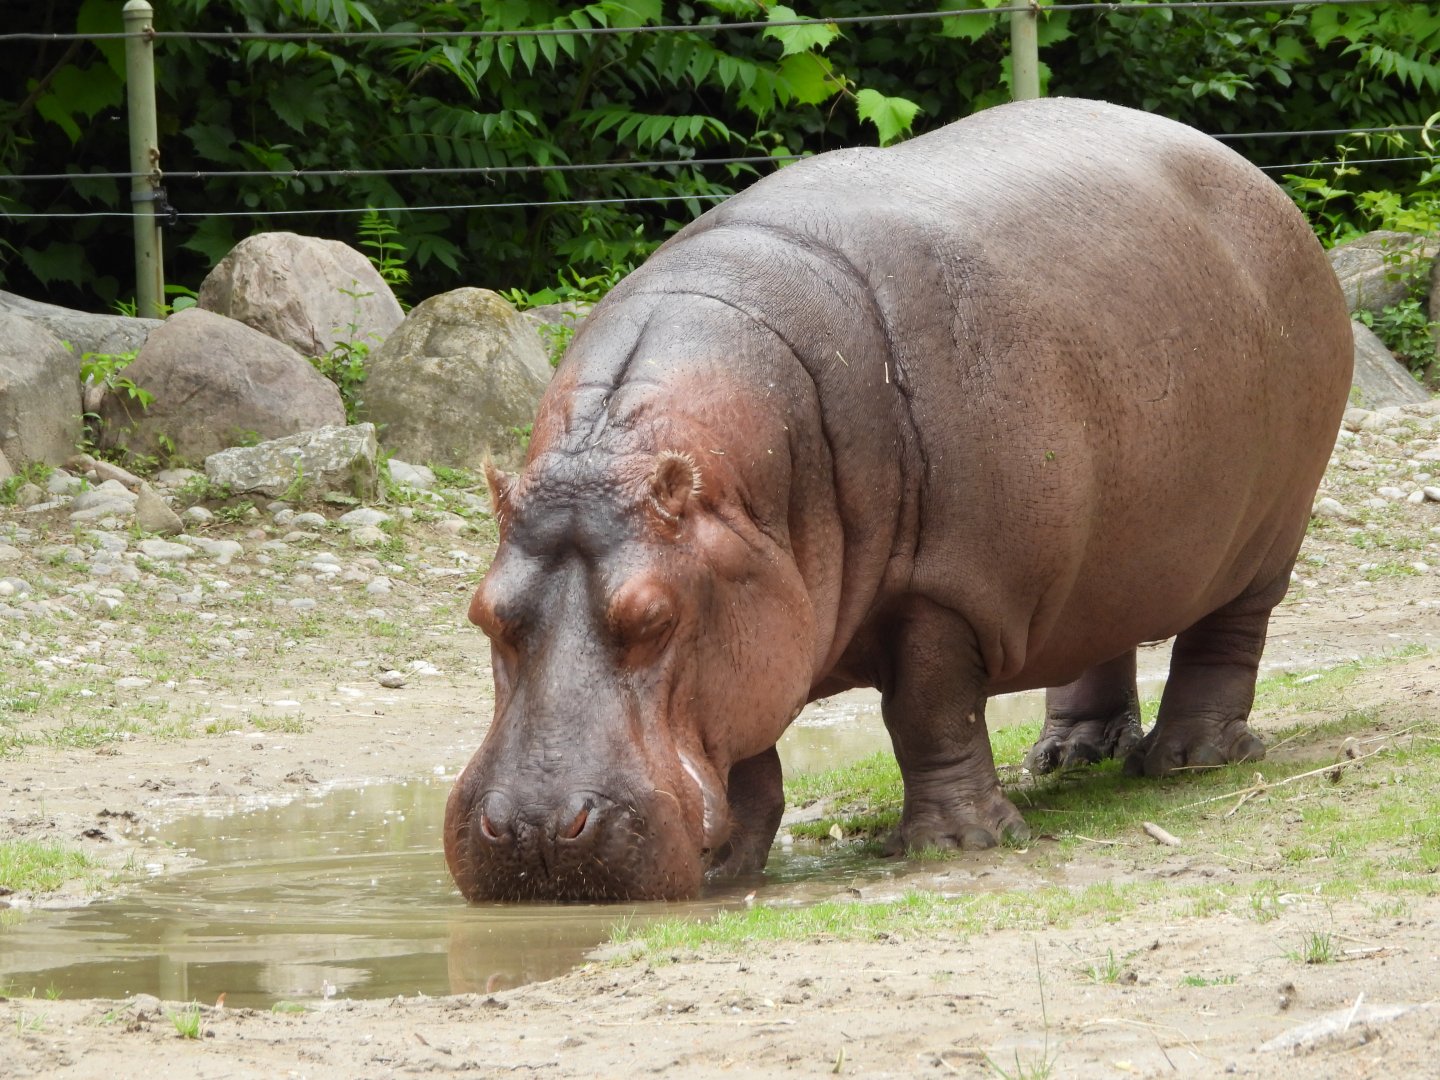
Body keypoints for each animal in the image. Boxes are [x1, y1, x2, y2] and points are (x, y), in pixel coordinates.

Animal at [444, 97, 1353, 902]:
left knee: (1226, 639)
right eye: (484, 612)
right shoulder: (755, 610)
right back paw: (1068, 757)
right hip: (1111, 543)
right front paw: (730, 868)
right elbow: (747, 754)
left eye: (656, 618)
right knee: (1104, 630)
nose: (532, 832)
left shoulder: (944, 589)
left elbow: (928, 712)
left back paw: (1191, 758)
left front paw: (957, 844)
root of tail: (1256, 178)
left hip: (1271, 532)